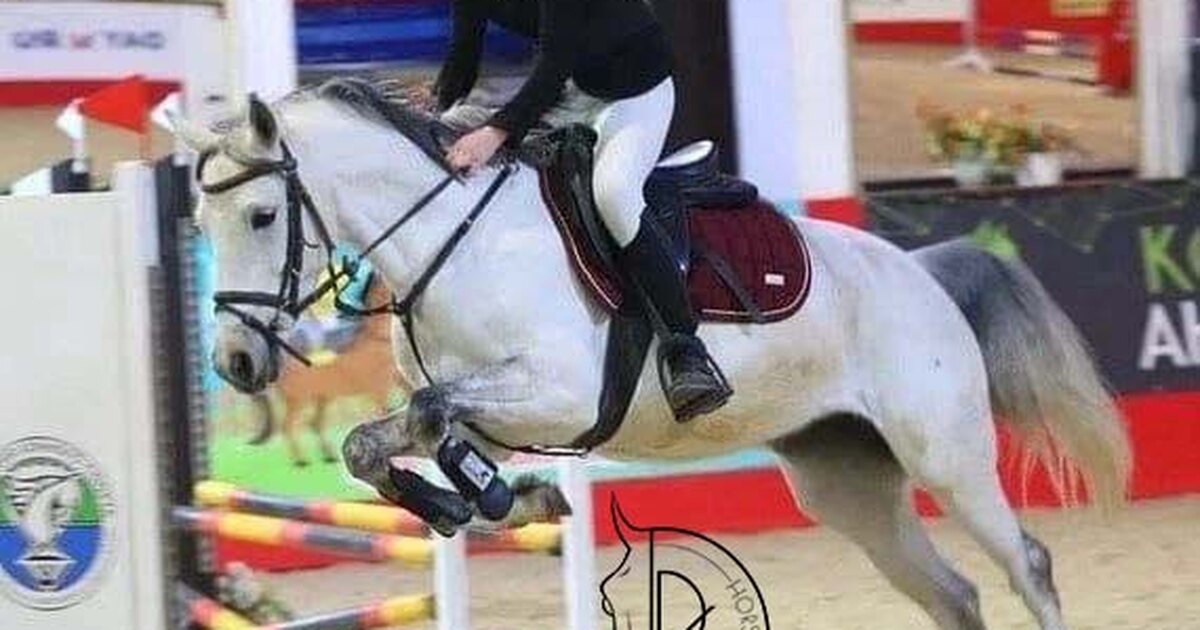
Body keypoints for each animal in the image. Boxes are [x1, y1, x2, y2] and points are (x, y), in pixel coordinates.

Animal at [174, 79, 1130, 630]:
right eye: (200, 225)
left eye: (262, 215)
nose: (235, 365)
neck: (456, 238)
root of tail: (921, 271)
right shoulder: (488, 404)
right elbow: (379, 440)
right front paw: (487, 500)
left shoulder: (560, 392)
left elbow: (427, 412)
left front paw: (499, 498)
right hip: (845, 485)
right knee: (952, 594)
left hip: (948, 458)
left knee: (1028, 567)